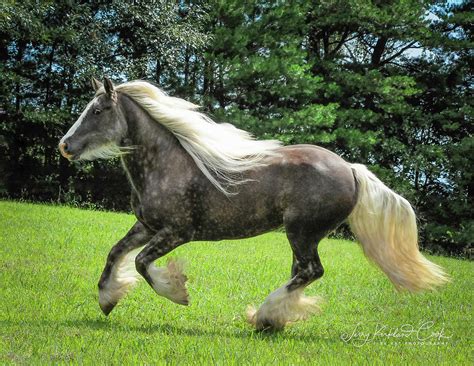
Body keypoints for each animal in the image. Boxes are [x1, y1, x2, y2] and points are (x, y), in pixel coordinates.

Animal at [59, 76, 448, 330]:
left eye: (97, 110)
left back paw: (264, 315)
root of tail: (351, 169)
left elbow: (141, 263)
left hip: (301, 231)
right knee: (301, 273)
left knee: (311, 271)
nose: (65, 146)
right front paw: (108, 300)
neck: (167, 164)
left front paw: (178, 292)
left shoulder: (178, 232)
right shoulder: (147, 225)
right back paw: (271, 320)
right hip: (303, 236)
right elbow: (115, 253)